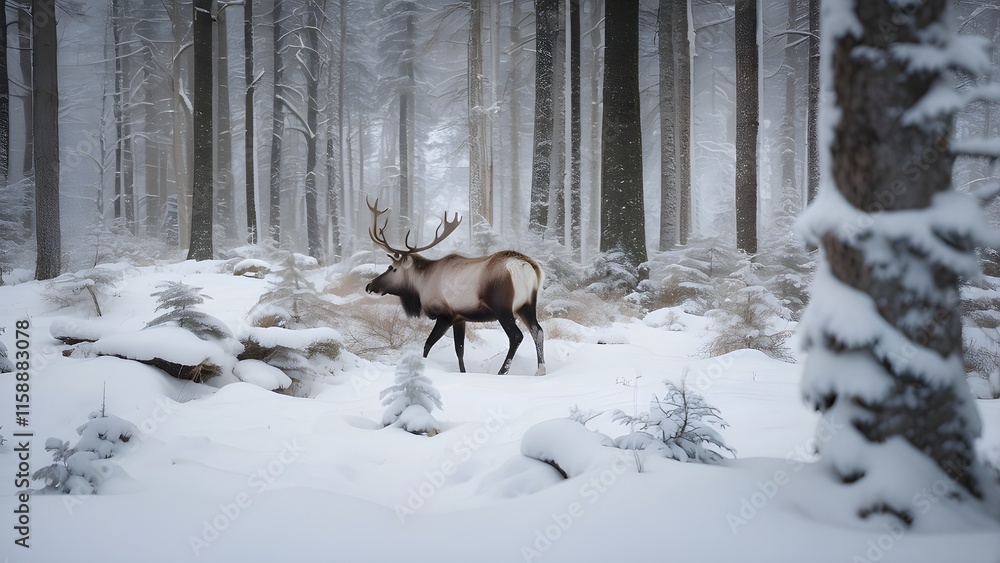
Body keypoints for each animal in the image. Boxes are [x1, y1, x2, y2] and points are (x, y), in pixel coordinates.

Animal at [364, 198, 546, 376]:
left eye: (392, 268)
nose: (369, 286)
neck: (422, 284)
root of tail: (526, 267)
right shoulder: (460, 317)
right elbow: (460, 351)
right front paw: (463, 372)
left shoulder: (446, 315)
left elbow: (427, 345)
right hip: (528, 305)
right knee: (538, 330)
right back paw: (540, 370)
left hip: (502, 307)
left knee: (516, 336)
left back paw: (503, 371)